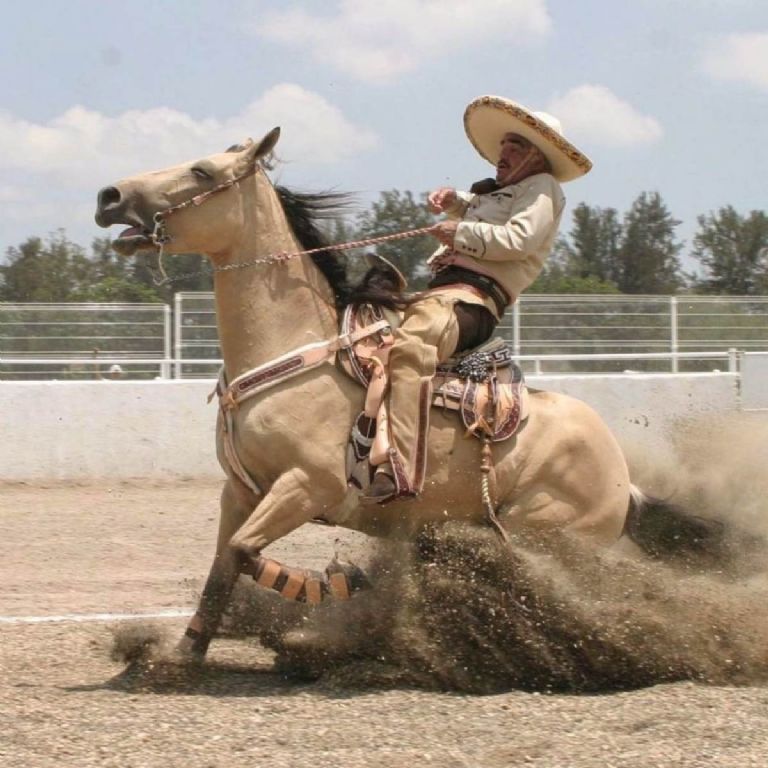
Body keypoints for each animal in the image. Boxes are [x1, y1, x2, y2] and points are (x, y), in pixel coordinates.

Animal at [94, 126, 712, 660]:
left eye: (201, 171)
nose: (109, 194)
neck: (294, 347)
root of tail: (624, 478)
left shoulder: (306, 486)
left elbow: (245, 553)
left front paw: (335, 587)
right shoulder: (240, 492)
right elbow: (222, 566)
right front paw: (180, 656)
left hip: (547, 537)